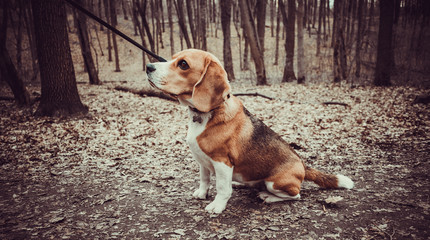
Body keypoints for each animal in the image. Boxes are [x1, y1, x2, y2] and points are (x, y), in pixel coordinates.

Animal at [146, 48, 354, 214]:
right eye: (173, 58)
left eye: (183, 64)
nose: (148, 66)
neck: (206, 114)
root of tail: (302, 164)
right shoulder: (203, 161)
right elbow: (204, 179)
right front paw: (202, 193)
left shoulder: (222, 161)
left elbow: (222, 188)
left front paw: (217, 206)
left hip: (276, 183)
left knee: (296, 195)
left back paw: (268, 196)